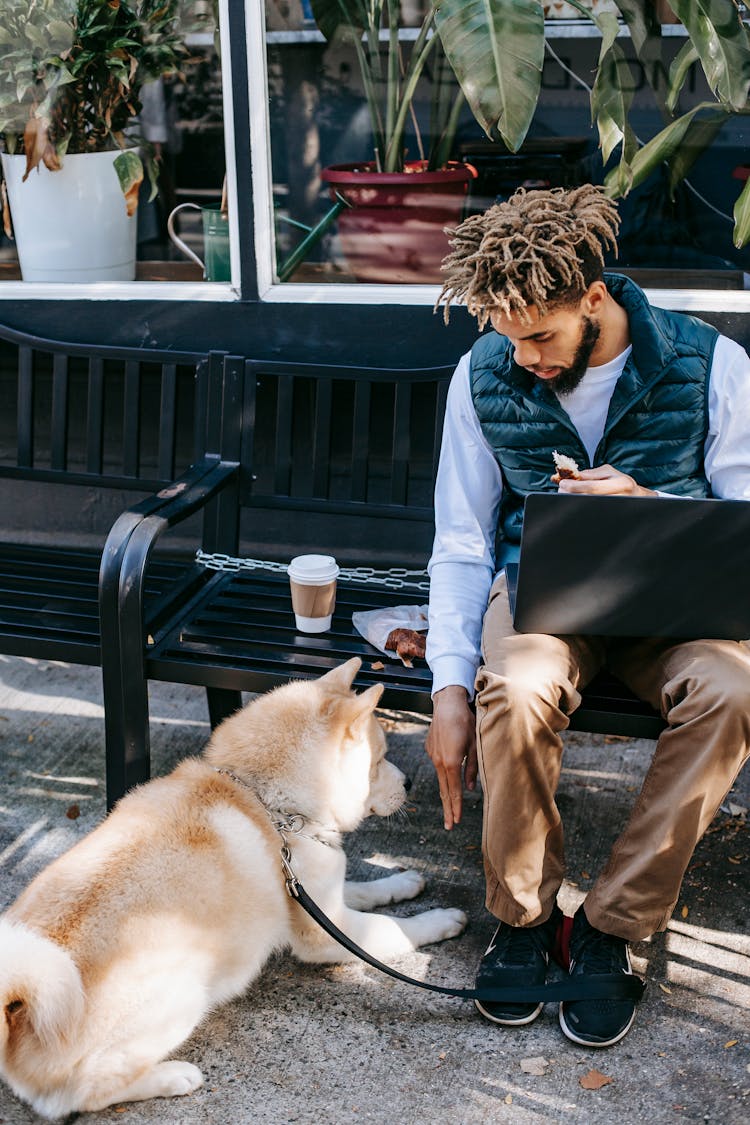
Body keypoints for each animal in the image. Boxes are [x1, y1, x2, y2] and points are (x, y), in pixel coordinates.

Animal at [0, 657, 465, 1116]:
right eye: (379, 760)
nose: (409, 783)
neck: (267, 802)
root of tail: (18, 1015)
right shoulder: (326, 930)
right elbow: (395, 928)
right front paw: (440, 920)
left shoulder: (319, 897)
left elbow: (367, 889)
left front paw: (404, 881)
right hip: (184, 993)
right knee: (85, 1093)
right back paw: (172, 1077)